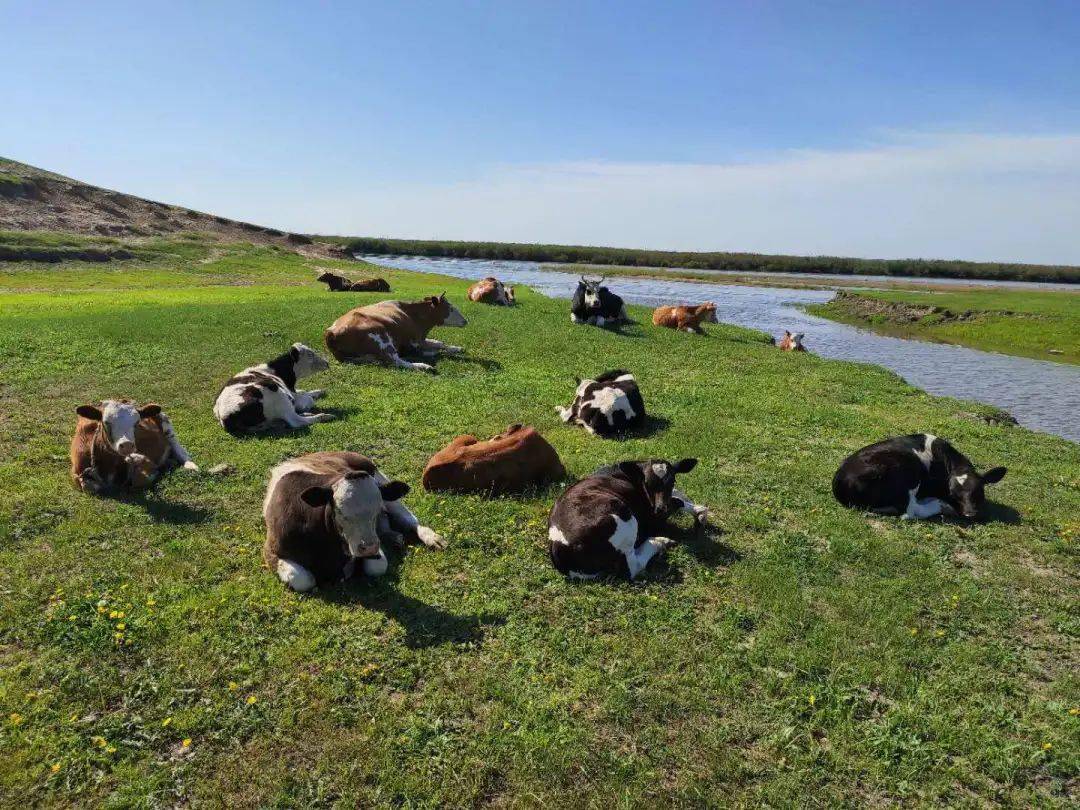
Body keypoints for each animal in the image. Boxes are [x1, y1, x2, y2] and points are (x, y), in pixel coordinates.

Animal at [263, 453, 444, 591]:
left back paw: (432, 538)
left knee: (409, 519)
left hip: (383, 484)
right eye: (340, 512)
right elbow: (303, 579)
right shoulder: (271, 550)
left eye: (376, 510)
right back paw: (394, 537)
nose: (369, 547)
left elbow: (377, 567)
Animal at [324, 295, 468, 373]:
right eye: (451, 308)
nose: (466, 321)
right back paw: (425, 366)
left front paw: (456, 348)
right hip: (381, 338)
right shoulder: (414, 341)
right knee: (395, 361)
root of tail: (331, 332)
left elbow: (439, 342)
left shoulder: (420, 339)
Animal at [548, 460, 708, 578]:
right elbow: (677, 501)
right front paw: (700, 511)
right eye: (647, 483)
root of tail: (557, 547)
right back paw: (660, 541)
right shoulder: (652, 517)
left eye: (672, 481)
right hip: (622, 514)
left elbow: (676, 495)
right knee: (632, 567)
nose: (661, 508)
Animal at [833, 434, 1002, 522]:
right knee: (909, 511)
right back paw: (939, 505)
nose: (970, 514)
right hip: (908, 471)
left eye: (978, 491)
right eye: (953, 494)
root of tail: (840, 481)